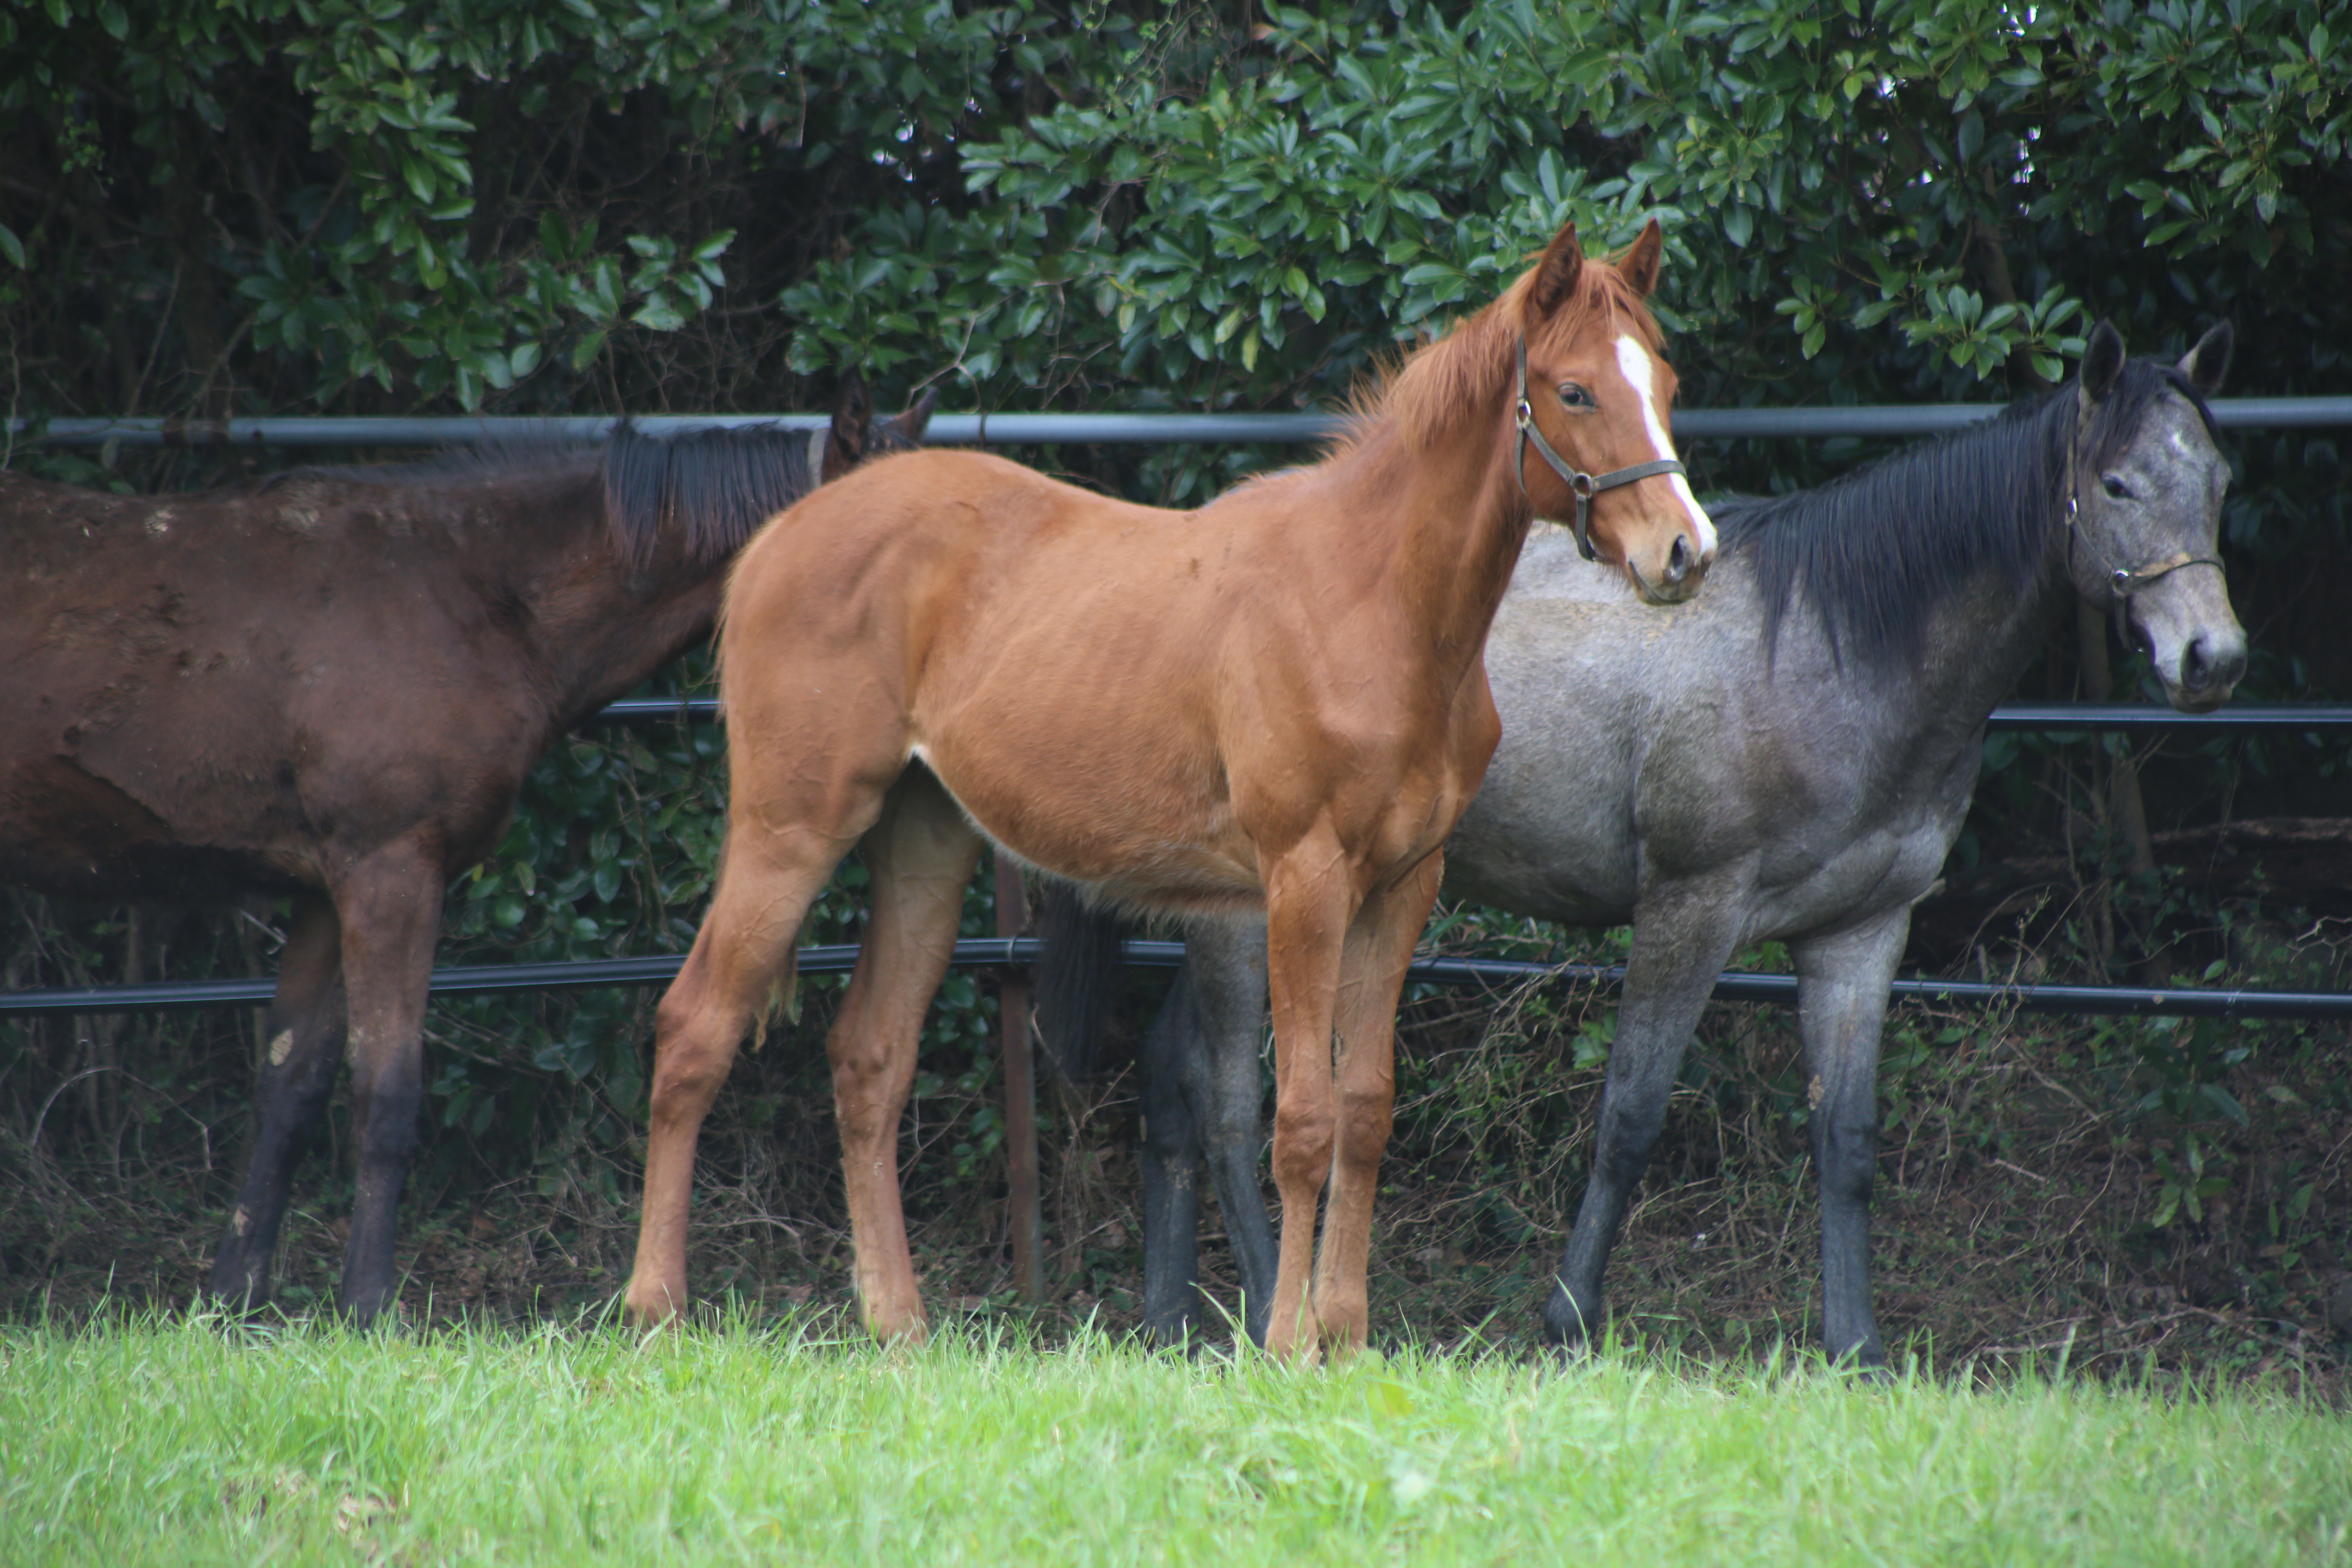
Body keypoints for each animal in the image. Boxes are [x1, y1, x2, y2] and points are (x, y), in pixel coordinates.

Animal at [0, 381, 936, 1326]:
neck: (468, 594)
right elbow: (387, 1093)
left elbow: (290, 1091)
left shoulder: (325, 892)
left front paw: (233, 1300)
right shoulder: (391, 873)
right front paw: (369, 1307)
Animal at [630, 221, 1712, 1363]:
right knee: (694, 1028)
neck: (1370, 603)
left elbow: (1367, 1111)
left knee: (869, 1058)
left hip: (925, 839)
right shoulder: (1302, 883)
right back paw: (654, 1310)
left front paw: (1349, 1338)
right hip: (789, 829)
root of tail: (776, 541)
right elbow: (1299, 1122)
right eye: (1573, 390)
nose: (1683, 550)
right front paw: (1287, 1345)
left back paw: (900, 1325)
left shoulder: (1401, 890)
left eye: (1665, 382)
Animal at [1044, 324, 2239, 1363]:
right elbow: (1628, 1115)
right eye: (2117, 485)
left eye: (2220, 479)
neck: (1824, 650)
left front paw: (1856, 1348)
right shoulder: (1689, 911)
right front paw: (1568, 1324)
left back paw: (1171, 1326)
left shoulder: (1860, 933)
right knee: (1223, 1102)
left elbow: (1846, 1141)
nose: (2210, 658)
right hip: (1264, 911)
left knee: (1170, 1078)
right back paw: (1262, 1313)